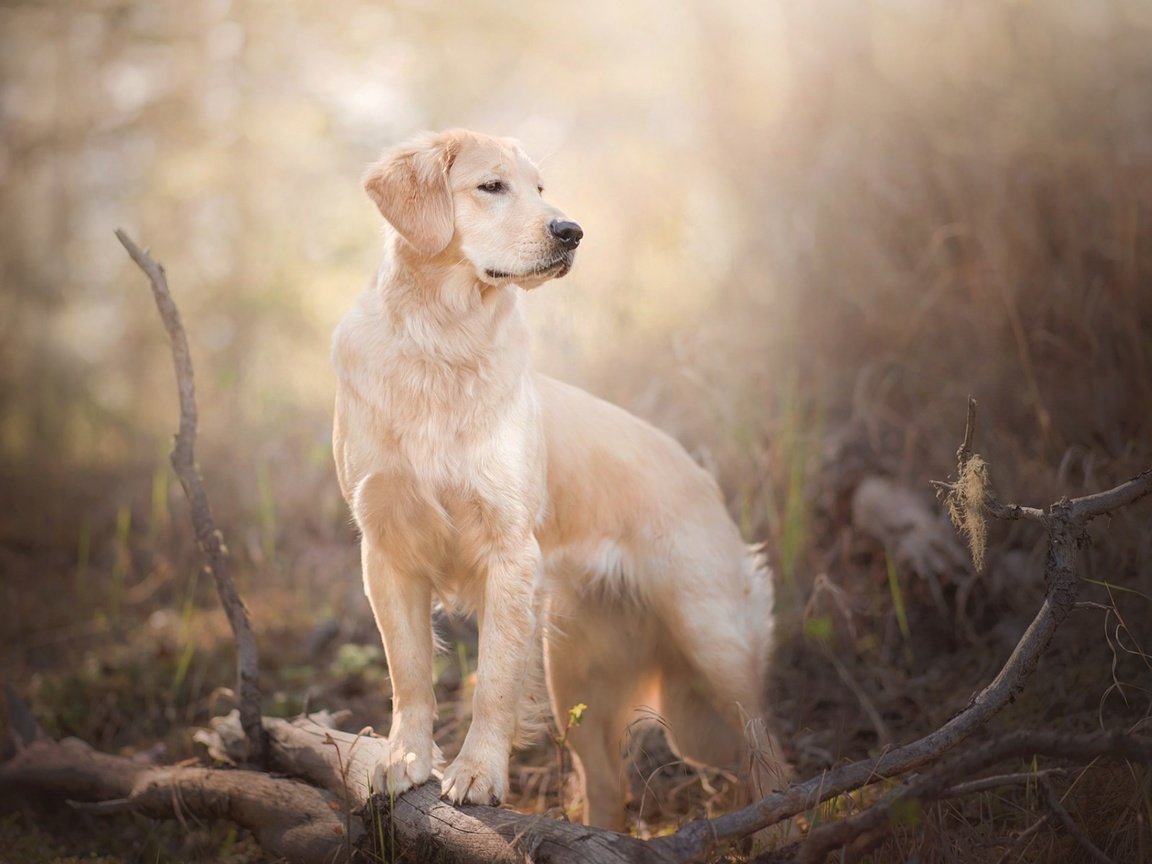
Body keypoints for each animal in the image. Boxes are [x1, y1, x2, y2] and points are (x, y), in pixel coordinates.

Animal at [329, 130, 787, 834]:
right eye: (492, 186)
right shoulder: (386, 550)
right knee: (608, 786)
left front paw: (477, 774)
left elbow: (492, 679)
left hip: (714, 646)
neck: (442, 341)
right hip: (580, 676)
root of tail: (702, 477)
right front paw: (404, 761)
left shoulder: (509, 550)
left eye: (541, 188)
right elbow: (408, 672)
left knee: (771, 756)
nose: (572, 231)